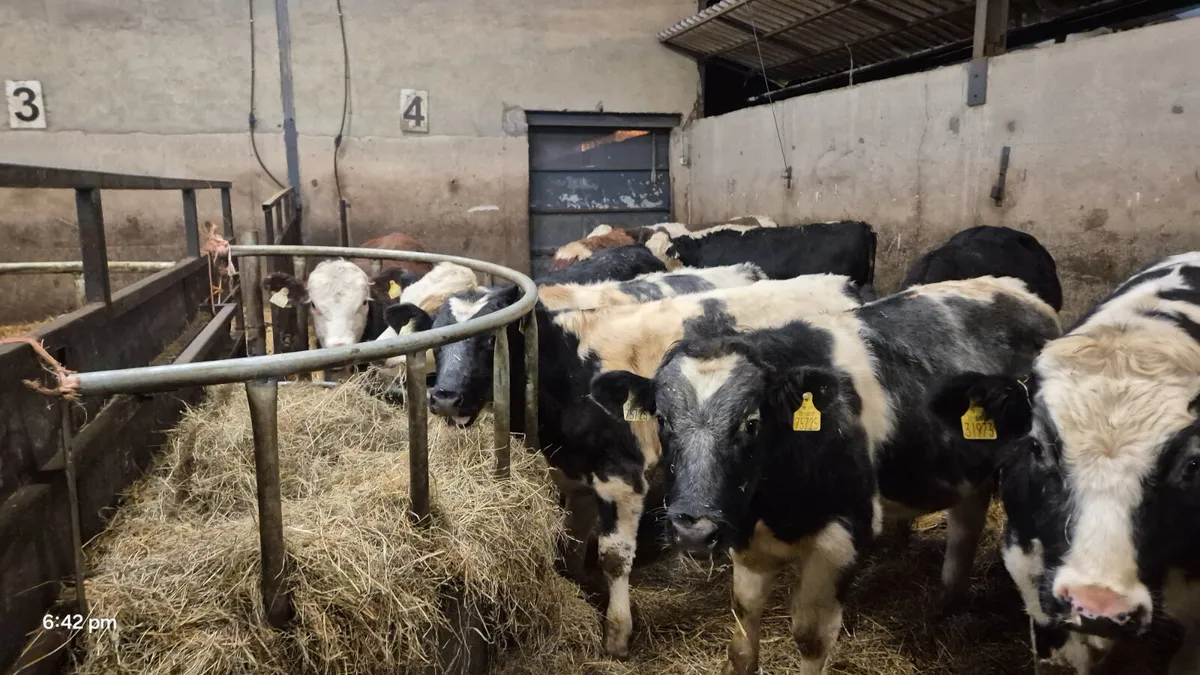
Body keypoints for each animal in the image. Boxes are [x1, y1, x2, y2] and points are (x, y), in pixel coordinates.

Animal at [390, 273, 864, 659]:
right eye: (434, 340)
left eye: (490, 340)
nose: (445, 397)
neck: (573, 370)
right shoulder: (575, 473)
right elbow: (572, 539)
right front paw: (579, 587)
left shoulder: (621, 474)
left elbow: (614, 556)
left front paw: (616, 634)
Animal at [591, 276, 1061, 674]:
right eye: (663, 420)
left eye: (751, 422)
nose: (693, 528)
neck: (775, 505)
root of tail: (1016, 290)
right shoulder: (746, 541)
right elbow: (742, 641)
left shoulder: (841, 539)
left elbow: (811, 637)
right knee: (966, 520)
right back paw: (944, 604)